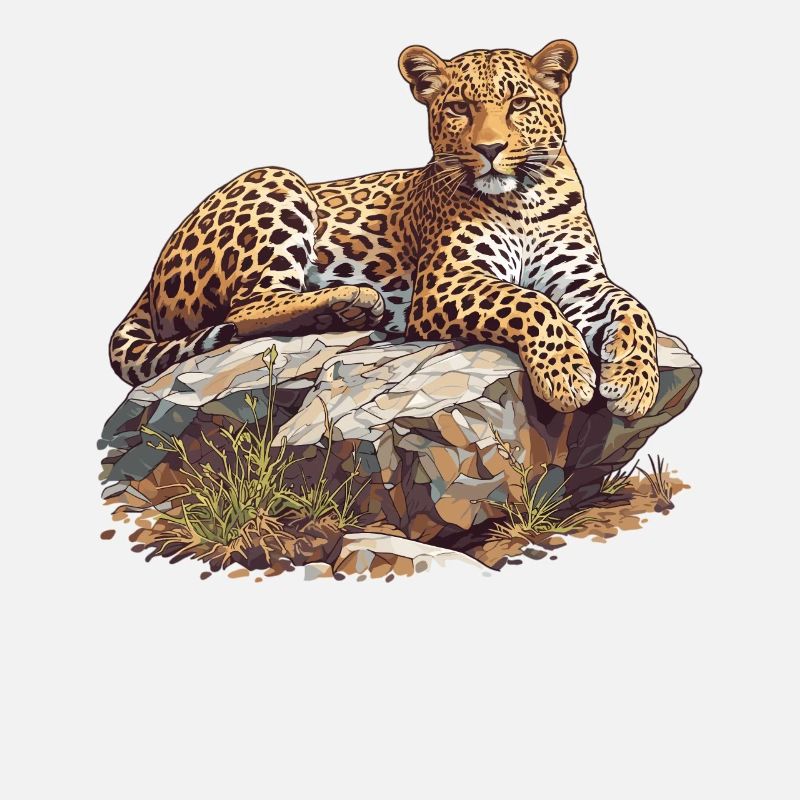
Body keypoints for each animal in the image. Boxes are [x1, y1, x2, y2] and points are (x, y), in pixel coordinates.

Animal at [109, 40, 659, 419]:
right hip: (276, 179)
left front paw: (633, 385)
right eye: (459, 108)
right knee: (247, 307)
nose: (490, 148)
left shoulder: (581, 281)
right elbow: (530, 302)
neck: (523, 198)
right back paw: (351, 302)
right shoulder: (444, 283)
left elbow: (634, 308)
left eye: (519, 104)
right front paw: (567, 376)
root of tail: (149, 282)